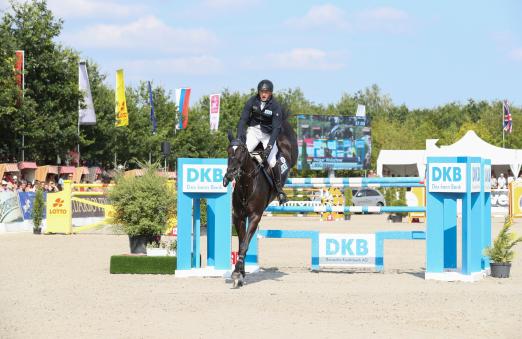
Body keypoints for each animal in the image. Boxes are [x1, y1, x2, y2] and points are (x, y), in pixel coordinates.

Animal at [221, 118, 296, 288]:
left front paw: (237, 274)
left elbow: (244, 244)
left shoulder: (255, 216)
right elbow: (242, 243)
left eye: (242, 151)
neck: (246, 183)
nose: (230, 174)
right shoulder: (239, 217)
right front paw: (240, 274)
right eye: (228, 151)